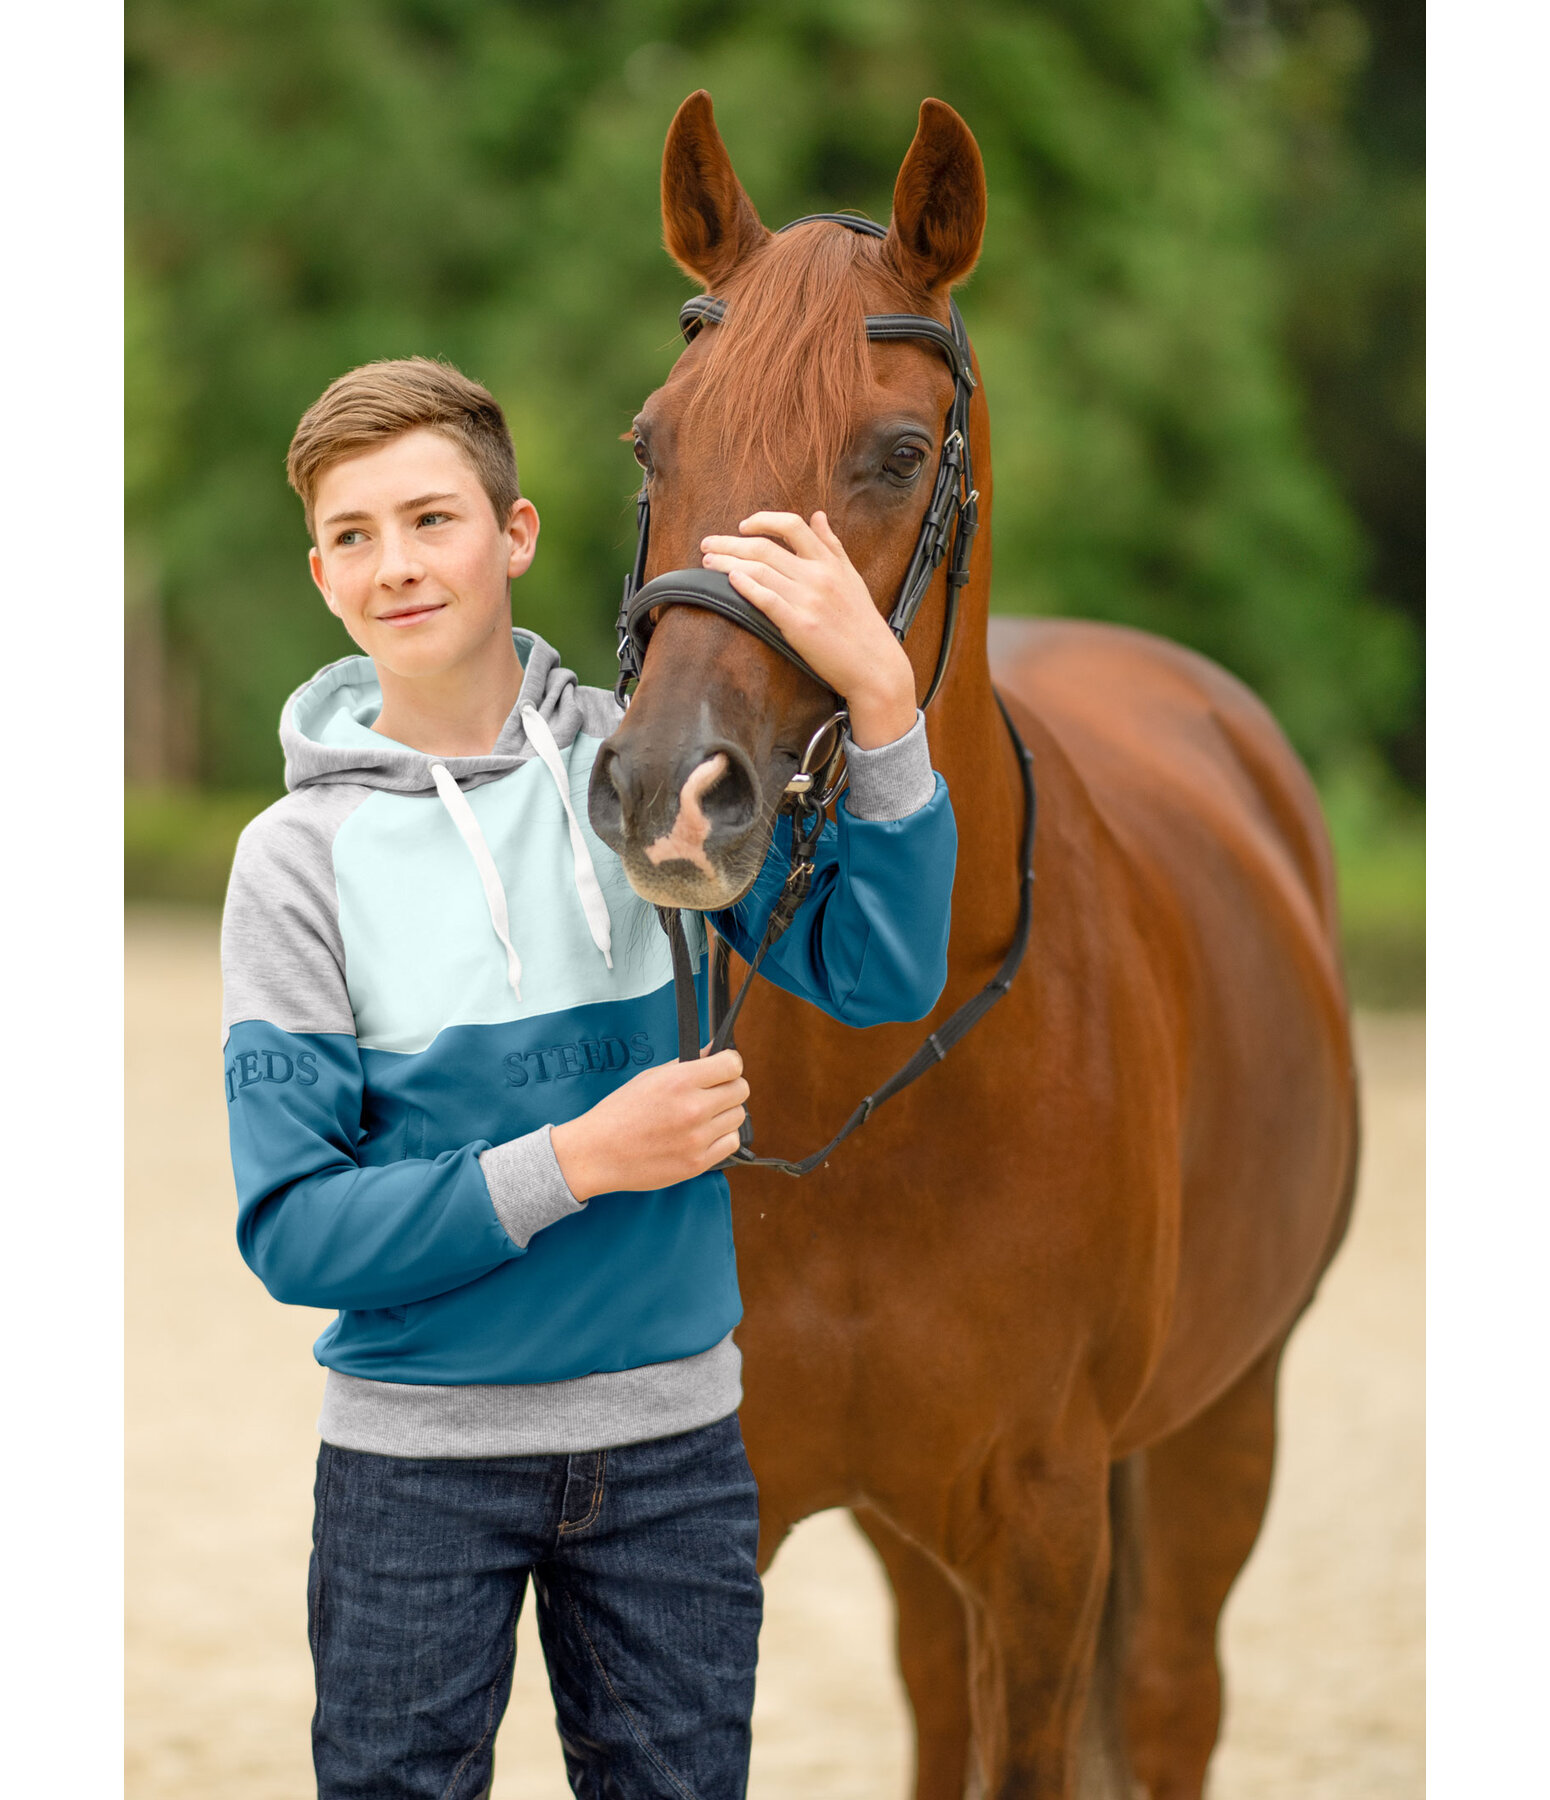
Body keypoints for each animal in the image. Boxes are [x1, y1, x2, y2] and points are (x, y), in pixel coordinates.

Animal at [590, 91, 1353, 1792]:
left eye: (890, 455)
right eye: (651, 440)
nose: (670, 790)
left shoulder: (1048, 1529)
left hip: (1223, 1429)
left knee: (1167, 1701)